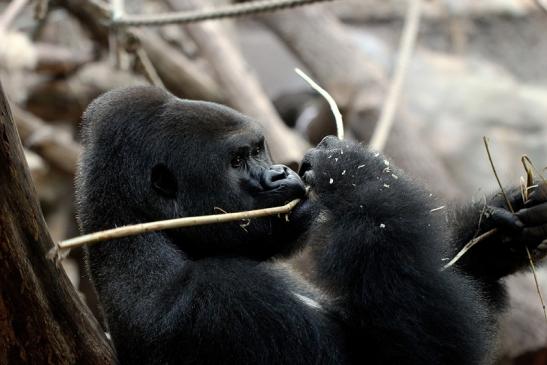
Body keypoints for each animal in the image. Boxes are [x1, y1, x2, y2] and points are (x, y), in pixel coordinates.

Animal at [77, 86, 547, 364]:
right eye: (237, 160)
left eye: (258, 150)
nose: (280, 174)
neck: (142, 237)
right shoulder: (221, 298)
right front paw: (353, 174)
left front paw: (503, 231)